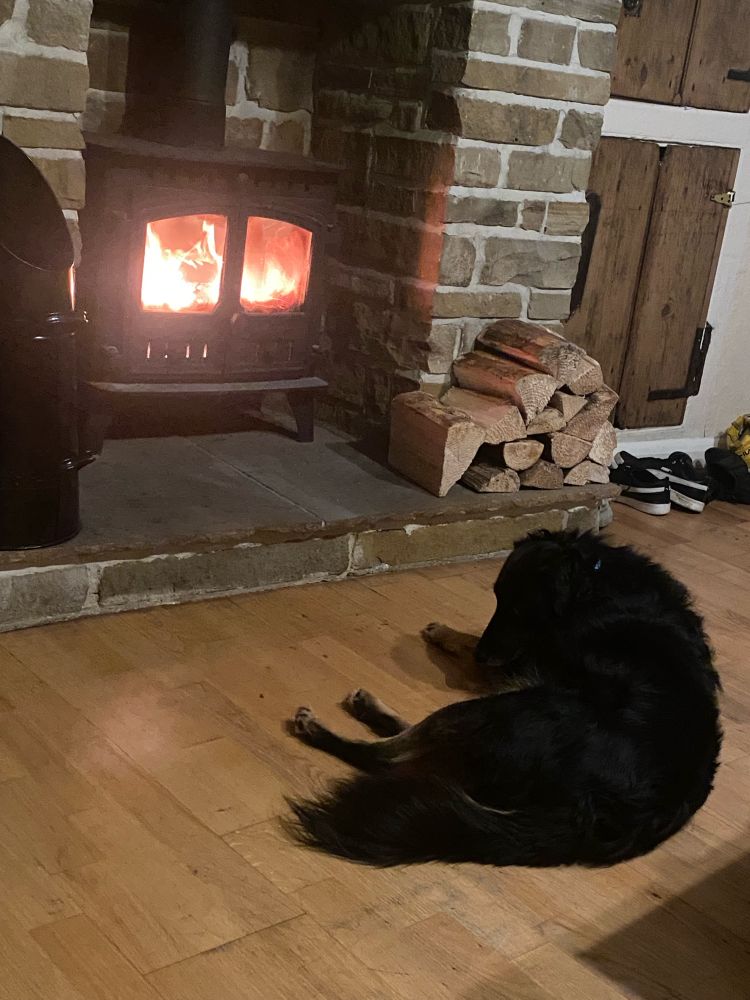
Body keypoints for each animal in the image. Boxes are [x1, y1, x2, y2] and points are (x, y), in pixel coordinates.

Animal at [287, 530, 721, 868]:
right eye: (496, 598)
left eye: (517, 609)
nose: (483, 654)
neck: (594, 580)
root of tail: (611, 813)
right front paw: (446, 632)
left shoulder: (526, 662)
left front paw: (452, 637)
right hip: (500, 710)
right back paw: (370, 708)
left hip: (511, 706)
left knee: (388, 757)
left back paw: (318, 728)